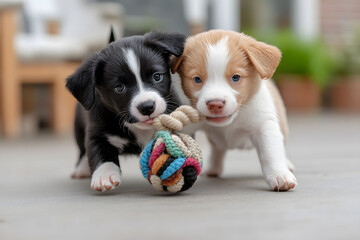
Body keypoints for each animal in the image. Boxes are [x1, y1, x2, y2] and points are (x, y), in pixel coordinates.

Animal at [65, 30, 186, 191]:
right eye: (119, 87)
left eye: (157, 77)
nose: (147, 106)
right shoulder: (97, 133)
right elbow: (101, 154)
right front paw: (104, 176)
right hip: (78, 128)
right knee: (82, 150)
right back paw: (81, 169)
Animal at [173, 30, 296, 191]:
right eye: (197, 79)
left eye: (236, 77)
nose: (215, 104)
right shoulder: (186, 126)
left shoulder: (264, 126)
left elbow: (271, 152)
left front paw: (280, 175)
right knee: (218, 150)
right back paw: (214, 168)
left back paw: (287, 164)